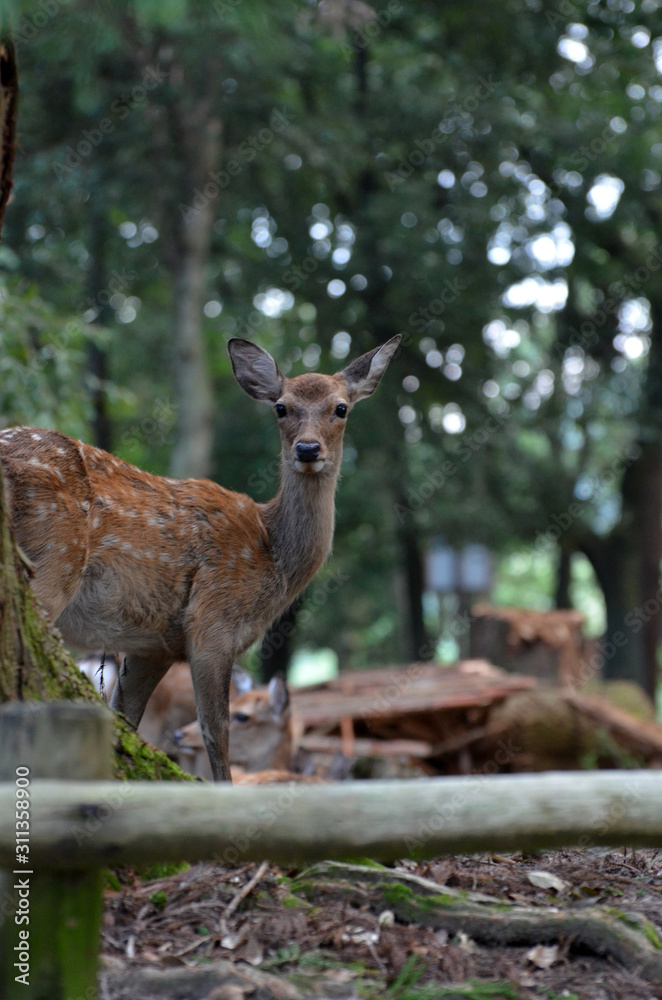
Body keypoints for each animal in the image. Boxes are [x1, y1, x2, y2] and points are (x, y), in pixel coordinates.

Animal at [0, 335, 400, 780]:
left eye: (341, 407)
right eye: (281, 407)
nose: (308, 449)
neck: (272, 557)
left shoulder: (154, 644)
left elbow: (125, 717)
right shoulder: (212, 622)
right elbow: (215, 730)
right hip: (54, 559)